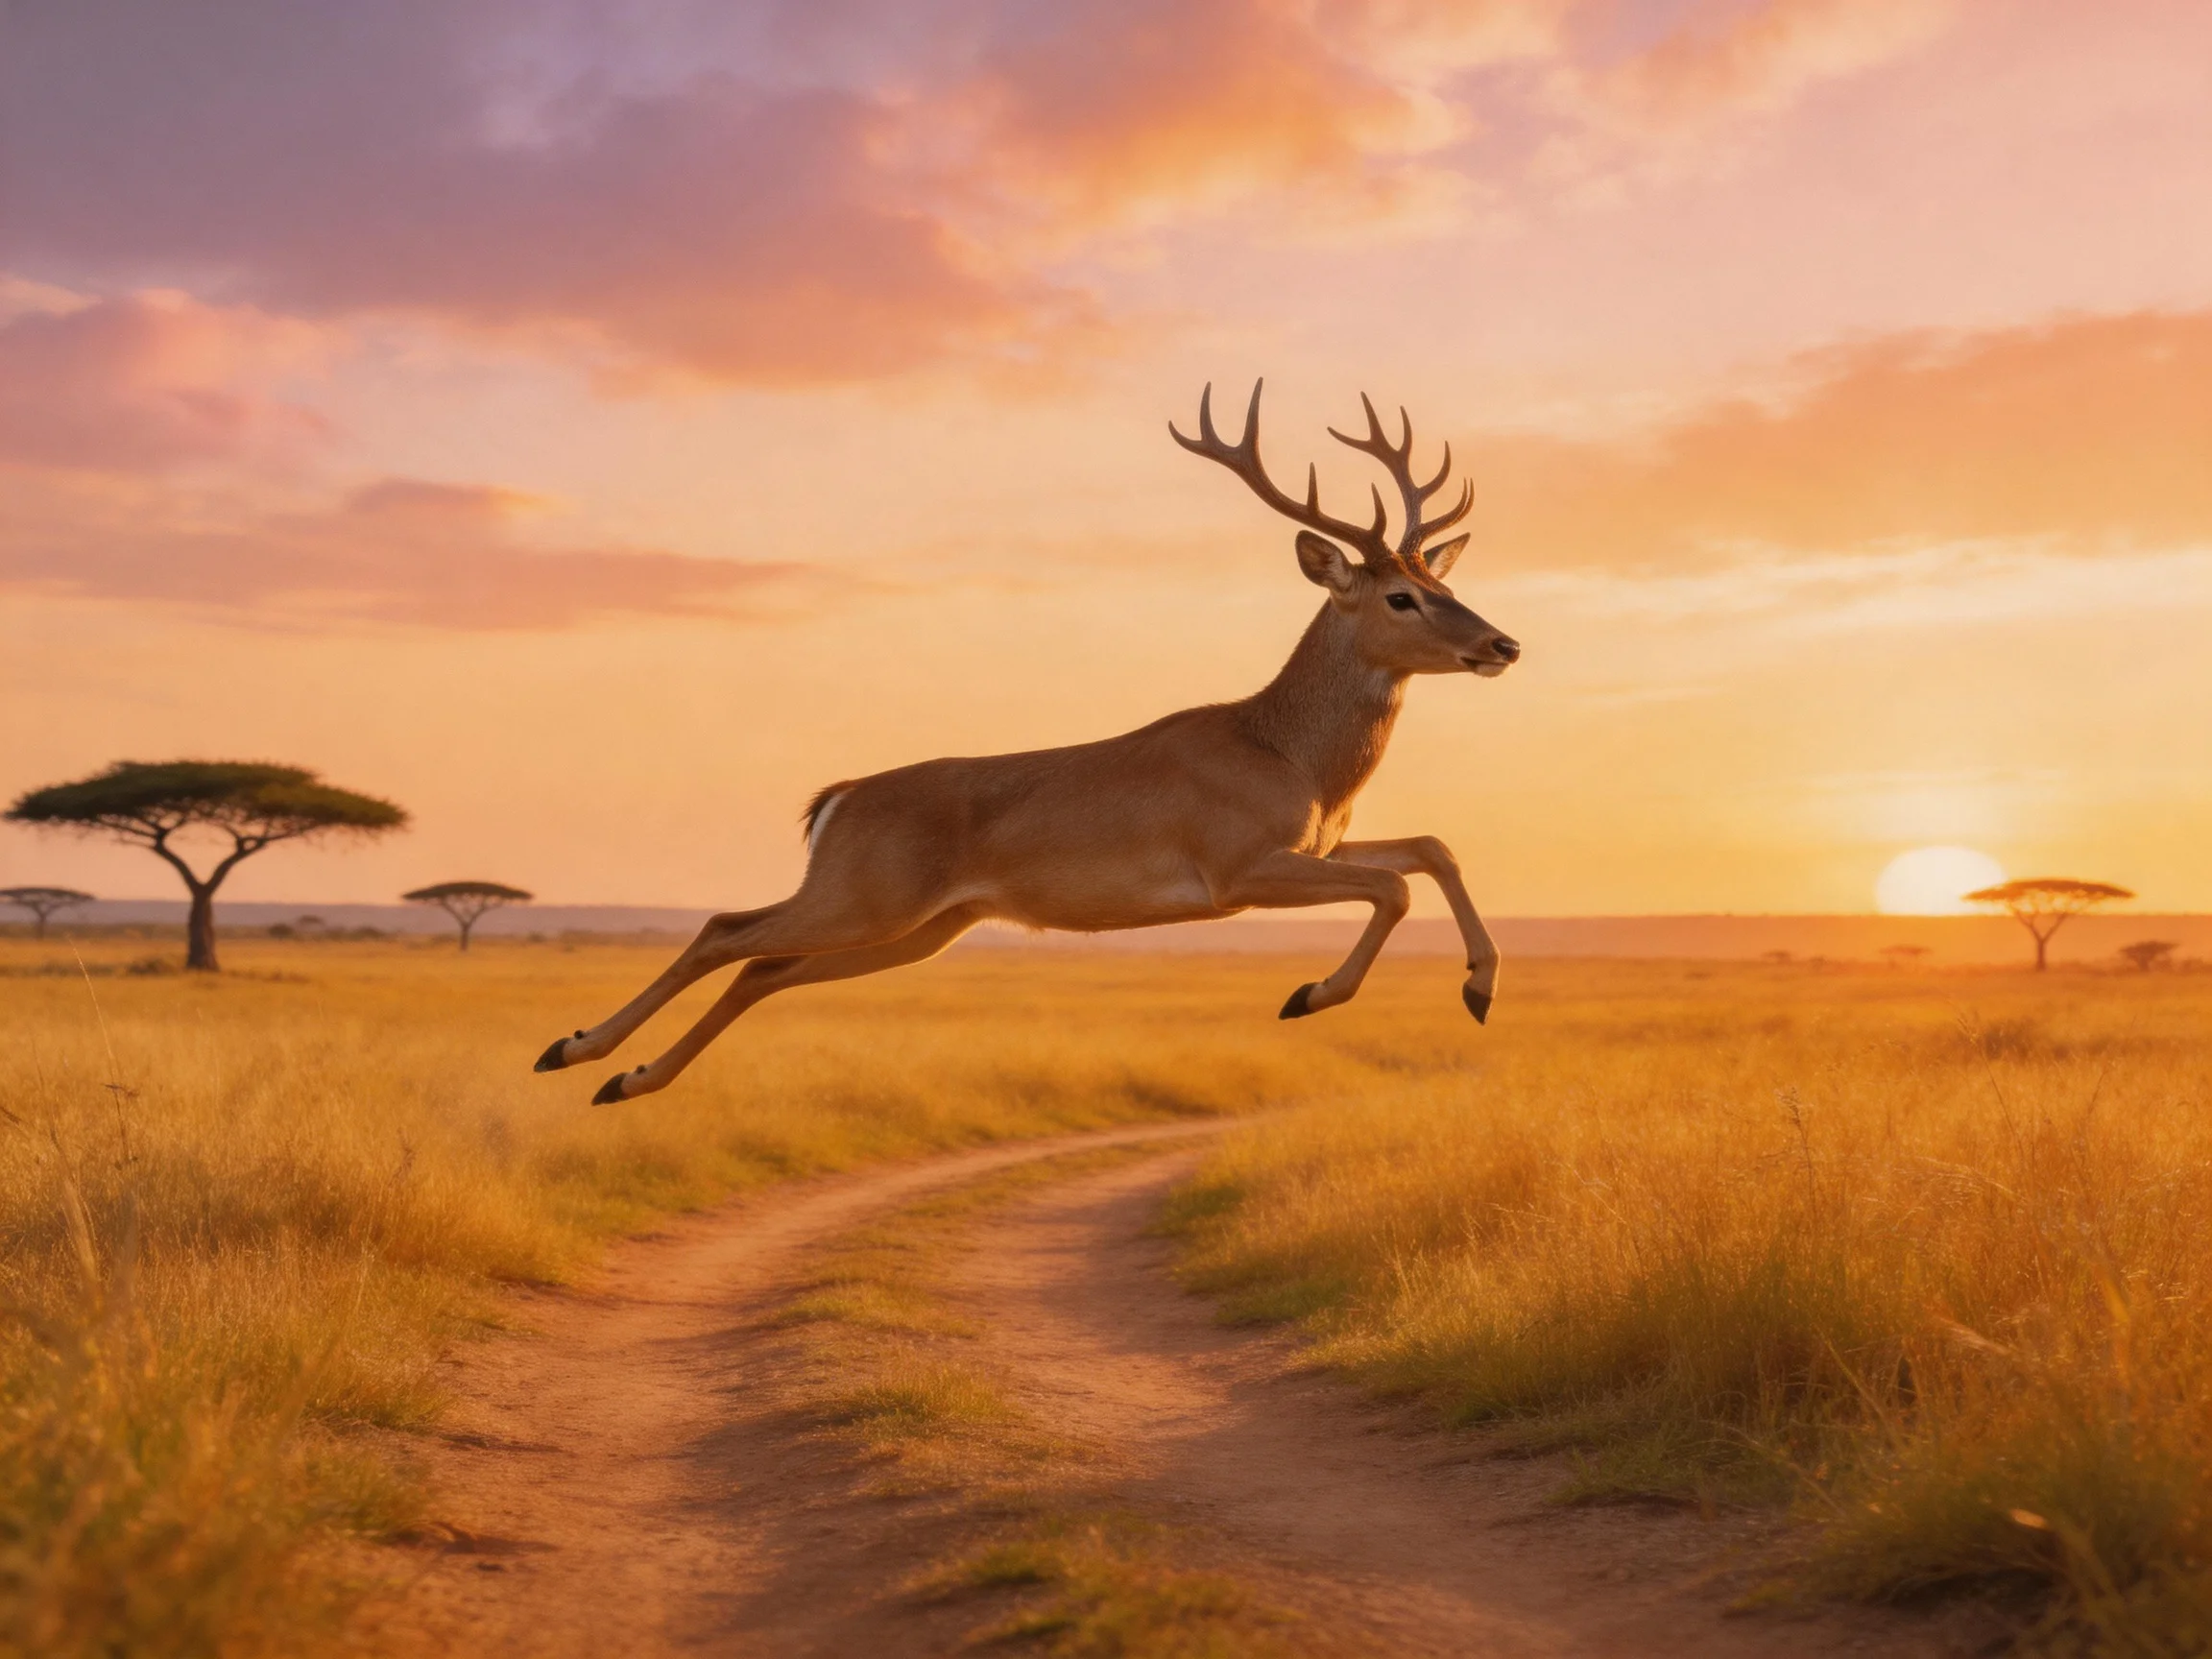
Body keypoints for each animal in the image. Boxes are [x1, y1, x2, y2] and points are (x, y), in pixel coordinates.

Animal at [536, 382, 1521, 1105]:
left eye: (1443, 580)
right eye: (1400, 596)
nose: (1501, 644)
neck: (1288, 754)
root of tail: (837, 800)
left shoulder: (1311, 847)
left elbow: (1431, 847)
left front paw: (1479, 988)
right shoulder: (1237, 869)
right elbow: (1395, 885)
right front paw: (1309, 995)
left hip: (919, 928)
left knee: (764, 968)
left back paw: (624, 1081)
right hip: (863, 898)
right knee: (723, 931)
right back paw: (573, 1050)